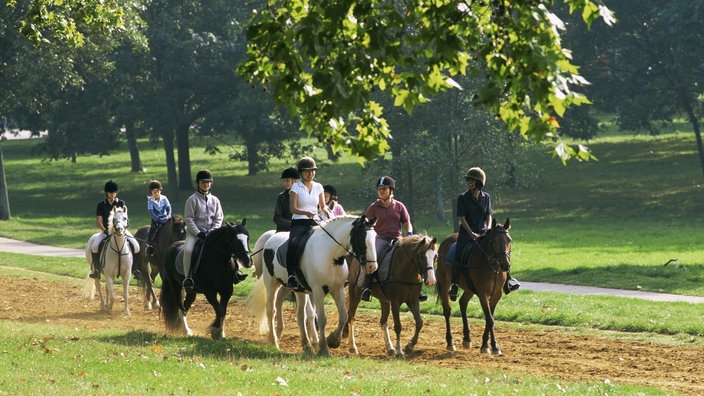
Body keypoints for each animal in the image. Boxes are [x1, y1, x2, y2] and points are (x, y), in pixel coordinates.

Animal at [249, 215, 380, 358]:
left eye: (375, 237)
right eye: (361, 238)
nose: (372, 267)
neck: (330, 254)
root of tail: (270, 238)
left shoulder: (337, 289)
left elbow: (343, 316)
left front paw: (333, 340)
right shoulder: (318, 291)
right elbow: (322, 319)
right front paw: (324, 349)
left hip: (298, 290)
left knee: (299, 315)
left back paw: (306, 345)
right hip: (271, 282)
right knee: (270, 310)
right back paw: (274, 341)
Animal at [434, 220, 512, 356]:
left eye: (509, 240)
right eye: (494, 241)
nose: (505, 265)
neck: (491, 266)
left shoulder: (496, 294)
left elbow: (489, 318)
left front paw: (485, 344)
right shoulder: (482, 293)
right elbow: (490, 319)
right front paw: (494, 346)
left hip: (469, 288)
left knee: (463, 303)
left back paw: (467, 339)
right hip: (444, 283)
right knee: (447, 311)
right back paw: (450, 342)